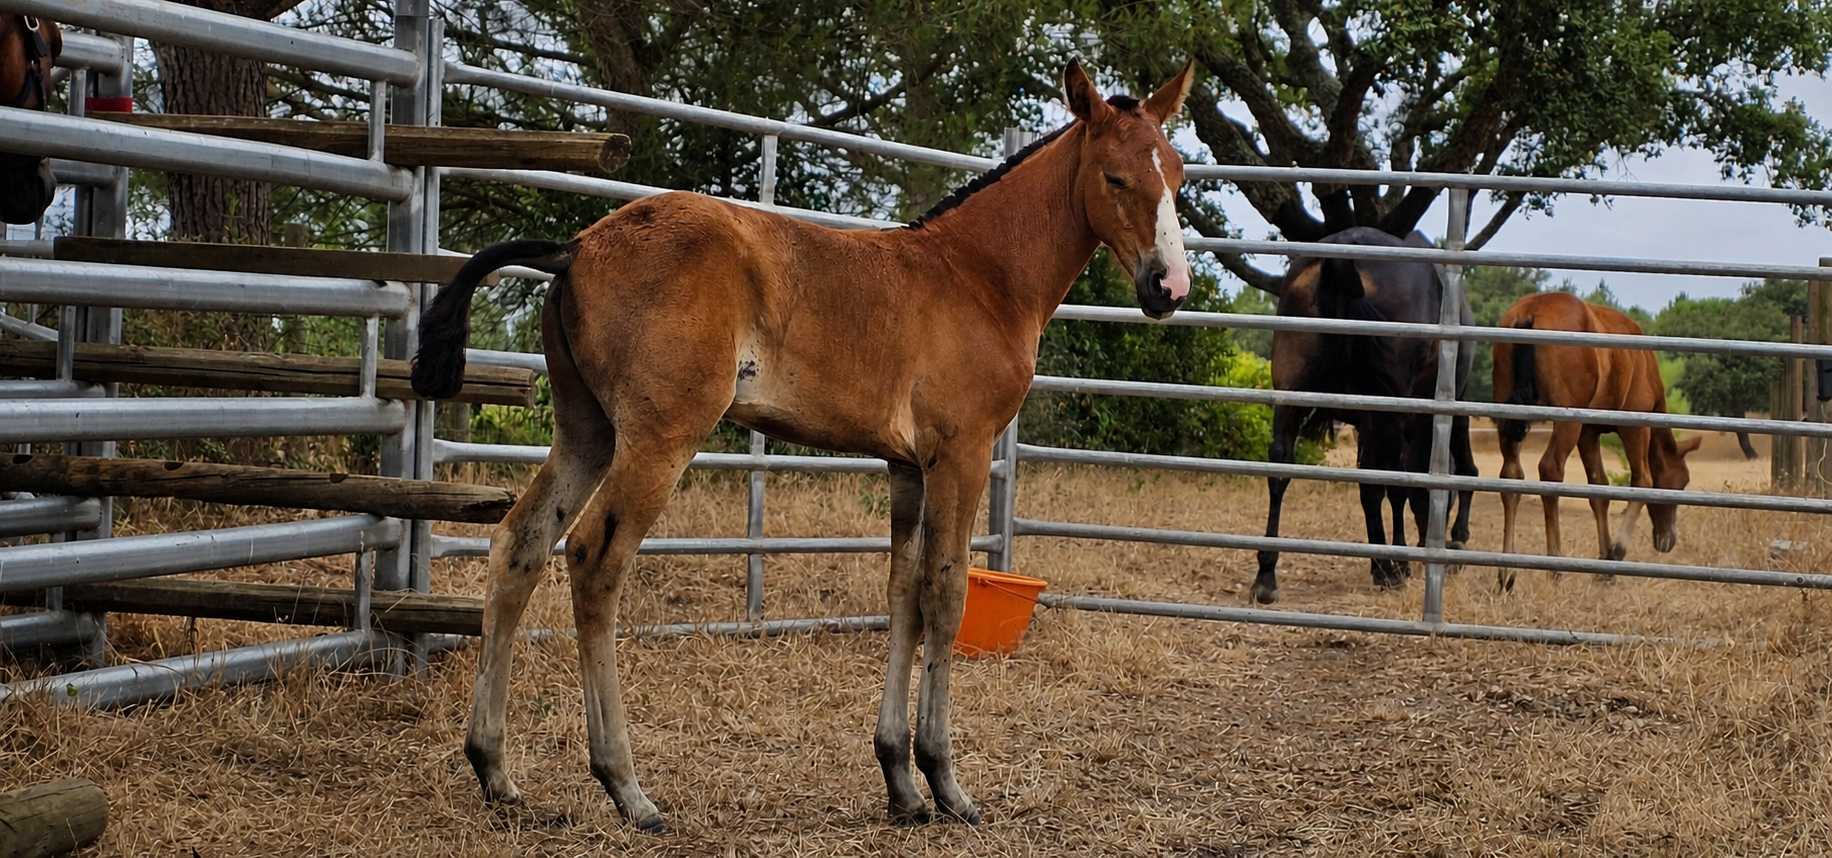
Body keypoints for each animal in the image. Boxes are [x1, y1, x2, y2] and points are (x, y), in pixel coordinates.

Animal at [410, 59, 1195, 831]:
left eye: (1179, 173)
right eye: (1115, 178)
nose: (1170, 287)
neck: (979, 275)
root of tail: (577, 247)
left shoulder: (906, 466)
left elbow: (903, 593)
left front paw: (900, 783)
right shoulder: (961, 454)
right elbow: (945, 594)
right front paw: (946, 783)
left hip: (588, 431)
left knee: (522, 544)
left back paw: (495, 771)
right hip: (659, 437)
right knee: (595, 560)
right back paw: (626, 788)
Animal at [1251, 227, 1478, 605]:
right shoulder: (1418, 419)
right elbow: (1412, 487)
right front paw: (1406, 560)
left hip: (1290, 392)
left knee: (1280, 467)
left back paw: (1266, 576)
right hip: (1390, 410)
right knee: (1382, 483)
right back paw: (1389, 569)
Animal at [1491, 290, 1701, 592]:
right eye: (1681, 482)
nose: (1668, 540)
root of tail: (1531, 312)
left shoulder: (1588, 432)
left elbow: (1599, 489)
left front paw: (1604, 563)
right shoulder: (1635, 425)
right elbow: (1642, 480)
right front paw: (1615, 553)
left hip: (1509, 415)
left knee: (1510, 476)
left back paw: (1506, 571)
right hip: (1566, 420)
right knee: (1550, 469)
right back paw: (1554, 567)